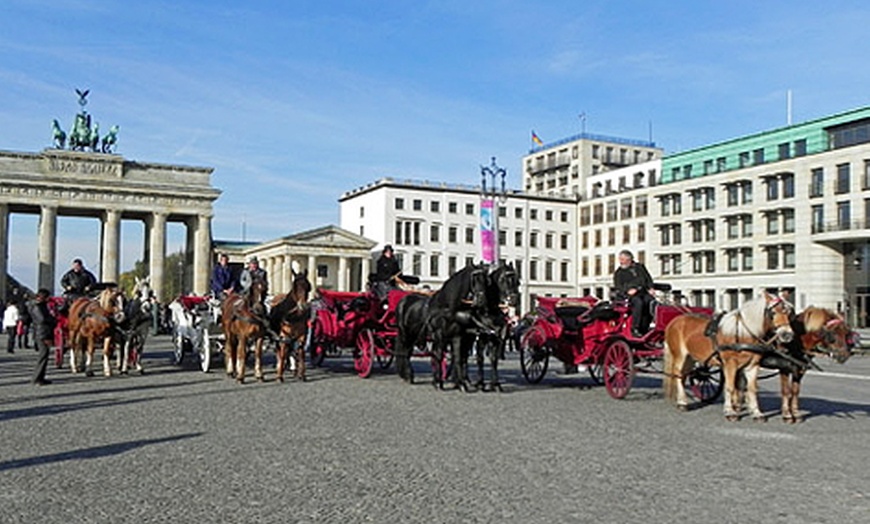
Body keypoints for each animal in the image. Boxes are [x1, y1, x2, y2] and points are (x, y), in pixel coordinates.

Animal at [668, 294, 796, 422]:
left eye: (788, 313)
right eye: (773, 313)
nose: (787, 335)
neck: (742, 334)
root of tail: (675, 320)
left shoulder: (752, 365)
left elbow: (752, 389)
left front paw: (756, 413)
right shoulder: (730, 364)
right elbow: (730, 387)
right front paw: (730, 412)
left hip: (690, 358)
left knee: (684, 375)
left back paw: (682, 399)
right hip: (680, 355)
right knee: (678, 374)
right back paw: (682, 403)